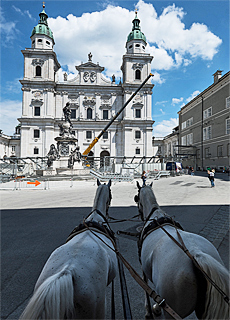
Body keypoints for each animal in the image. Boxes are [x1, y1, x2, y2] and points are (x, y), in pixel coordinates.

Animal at [134, 182, 229, 320]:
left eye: (136, 197)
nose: (139, 214)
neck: (155, 216)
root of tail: (196, 254)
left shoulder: (143, 266)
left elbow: (146, 286)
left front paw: (150, 310)